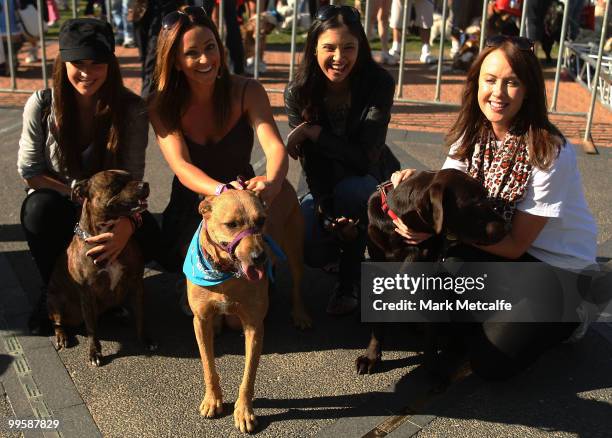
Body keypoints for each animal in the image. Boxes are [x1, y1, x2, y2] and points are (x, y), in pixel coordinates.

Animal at [48, 169, 158, 368]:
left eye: (132, 177)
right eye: (116, 184)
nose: (144, 184)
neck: (107, 234)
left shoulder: (136, 282)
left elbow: (140, 316)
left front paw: (145, 339)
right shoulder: (87, 293)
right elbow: (92, 328)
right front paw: (95, 352)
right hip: (55, 300)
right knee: (58, 322)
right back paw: (62, 336)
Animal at [186, 180, 310, 432]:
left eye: (261, 221)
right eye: (231, 224)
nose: (259, 257)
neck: (226, 273)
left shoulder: (254, 325)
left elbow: (248, 376)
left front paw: (244, 411)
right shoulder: (200, 321)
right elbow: (208, 366)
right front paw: (212, 399)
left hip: (294, 248)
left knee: (297, 283)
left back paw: (300, 313)